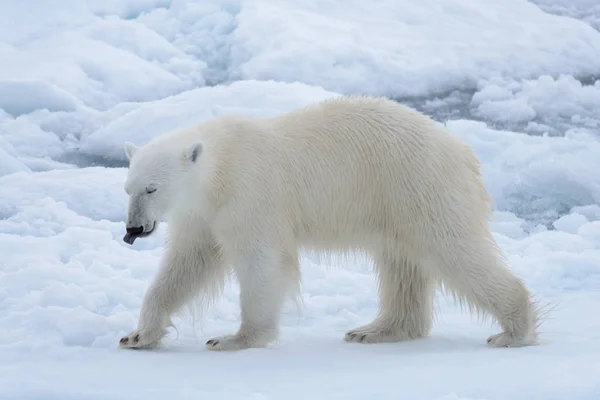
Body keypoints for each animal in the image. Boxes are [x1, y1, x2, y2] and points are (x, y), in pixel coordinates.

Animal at [117, 95, 540, 352]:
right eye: (128, 188)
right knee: (402, 264)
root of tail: (463, 151)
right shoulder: (202, 213)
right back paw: (375, 329)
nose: (133, 230)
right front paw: (138, 335)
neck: (220, 164)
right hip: (396, 204)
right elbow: (188, 264)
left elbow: (261, 261)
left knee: (453, 249)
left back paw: (513, 330)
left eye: (152, 188)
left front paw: (235, 338)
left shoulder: (250, 194)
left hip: (418, 185)